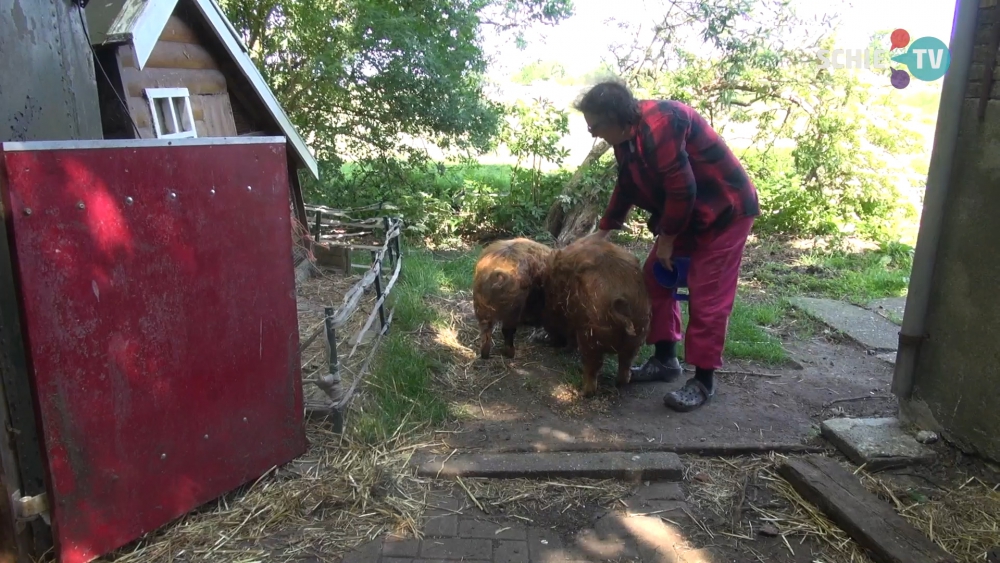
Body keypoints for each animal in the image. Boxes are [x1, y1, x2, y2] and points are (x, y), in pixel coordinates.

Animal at [544, 236, 652, 398]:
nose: (551, 341)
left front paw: (564, 349)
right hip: (639, 330)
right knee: (626, 361)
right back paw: (620, 382)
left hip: (591, 335)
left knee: (593, 365)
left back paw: (582, 392)